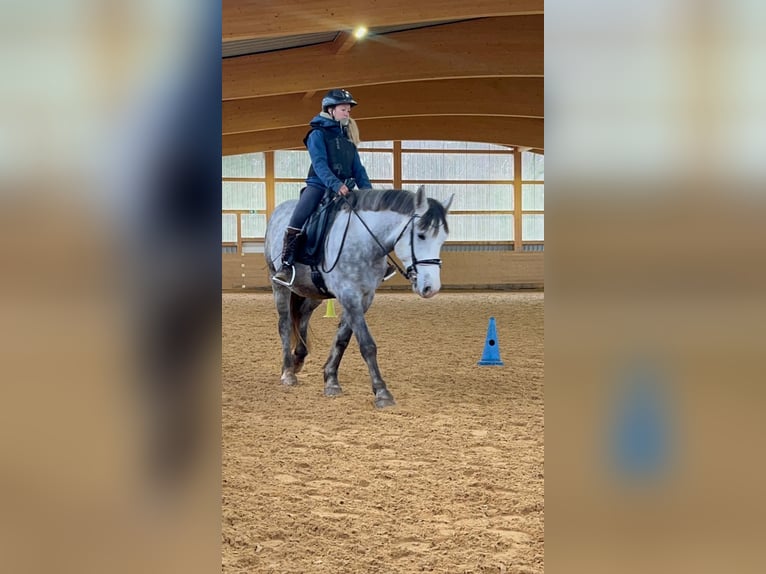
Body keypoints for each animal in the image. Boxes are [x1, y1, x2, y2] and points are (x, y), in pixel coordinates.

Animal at [264, 185, 453, 408]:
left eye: (442, 239)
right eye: (421, 235)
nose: (431, 287)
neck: (364, 242)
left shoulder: (364, 297)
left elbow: (342, 339)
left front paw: (331, 380)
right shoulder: (349, 295)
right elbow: (367, 344)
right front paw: (382, 392)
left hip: (313, 291)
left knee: (302, 315)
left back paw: (298, 359)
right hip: (279, 286)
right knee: (285, 324)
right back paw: (287, 373)